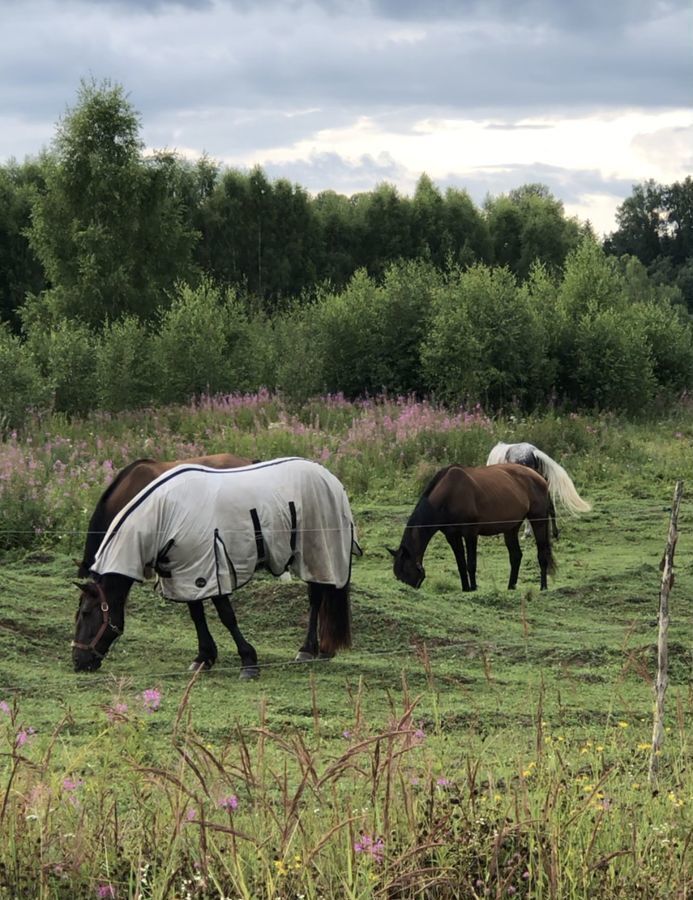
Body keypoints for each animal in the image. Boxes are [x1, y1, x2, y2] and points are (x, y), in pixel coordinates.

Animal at [390, 464, 556, 596]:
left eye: (405, 571)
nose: (411, 588)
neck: (449, 494)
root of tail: (540, 477)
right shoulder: (452, 536)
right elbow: (461, 563)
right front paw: (466, 588)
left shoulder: (470, 533)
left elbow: (471, 563)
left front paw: (474, 587)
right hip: (511, 527)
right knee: (516, 556)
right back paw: (511, 587)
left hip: (538, 520)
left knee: (542, 554)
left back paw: (543, 587)